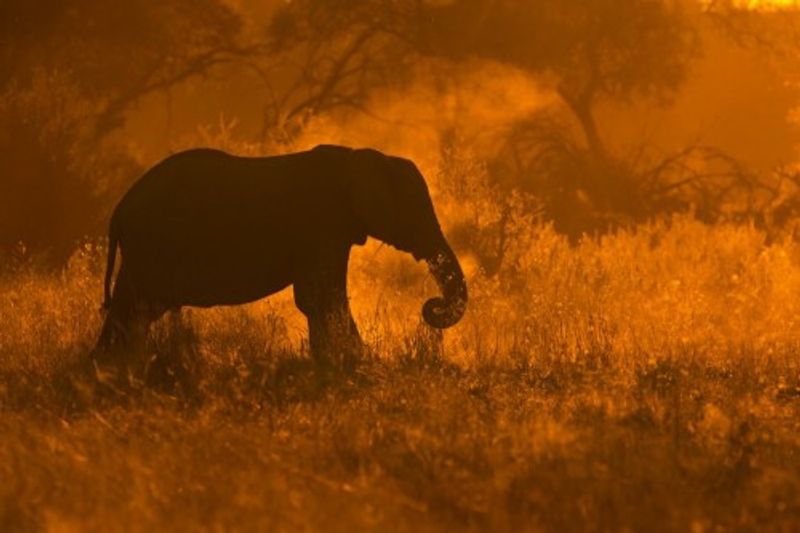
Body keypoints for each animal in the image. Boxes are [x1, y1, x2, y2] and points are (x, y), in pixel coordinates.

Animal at [95, 144, 467, 367]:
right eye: (416, 212)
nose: (431, 307)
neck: (357, 157)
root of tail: (119, 210)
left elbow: (318, 299)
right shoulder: (323, 226)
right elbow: (323, 297)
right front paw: (359, 362)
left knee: (132, 312)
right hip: (150, 246)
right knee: (134, 310)